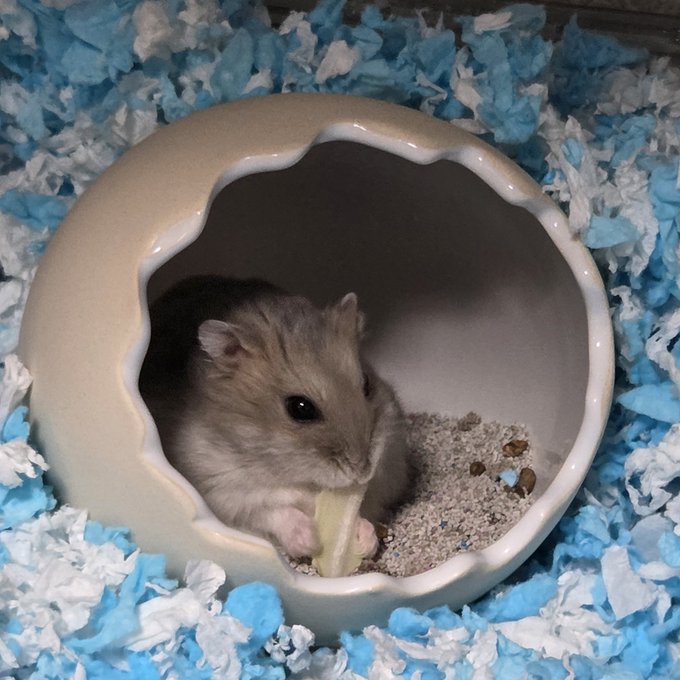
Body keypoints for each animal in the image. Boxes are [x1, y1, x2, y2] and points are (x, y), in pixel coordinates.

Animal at [139, 275, 413, 559]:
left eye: (367, 384)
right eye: (300, 408)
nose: (362, 472)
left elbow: (362, 510)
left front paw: (365, 541)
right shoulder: (224, 493)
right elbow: (274, 512)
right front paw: (310, 541)